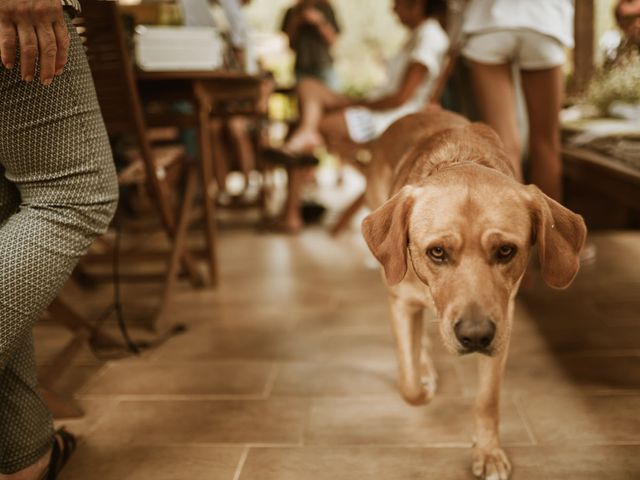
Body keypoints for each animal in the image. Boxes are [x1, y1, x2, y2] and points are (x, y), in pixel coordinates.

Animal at [360, 109, 584, 480]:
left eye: (506, 250)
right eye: (436, 252)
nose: (475, 336)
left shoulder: (503, 321)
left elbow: (487, 400)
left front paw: (488, 451)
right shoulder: (402, 302)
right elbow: (410, 386)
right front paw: (423, 383)